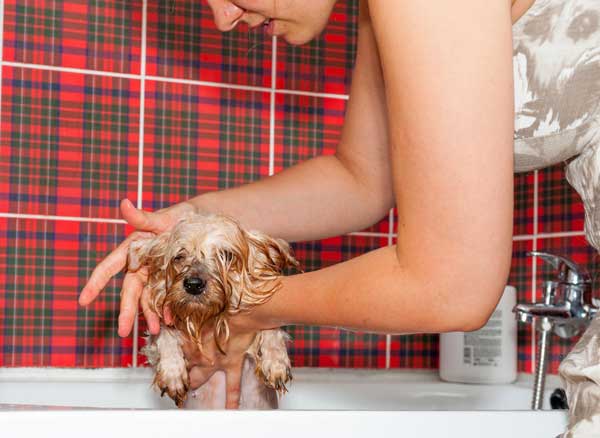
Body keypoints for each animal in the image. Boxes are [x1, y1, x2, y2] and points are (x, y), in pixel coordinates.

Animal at [129, 212, 300, 408]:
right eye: (179, 257)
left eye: (226, 255)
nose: (193, 284)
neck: (208, 319)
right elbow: (164, 332)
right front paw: (173, 371)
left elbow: (271, 327)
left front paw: (275, 360)